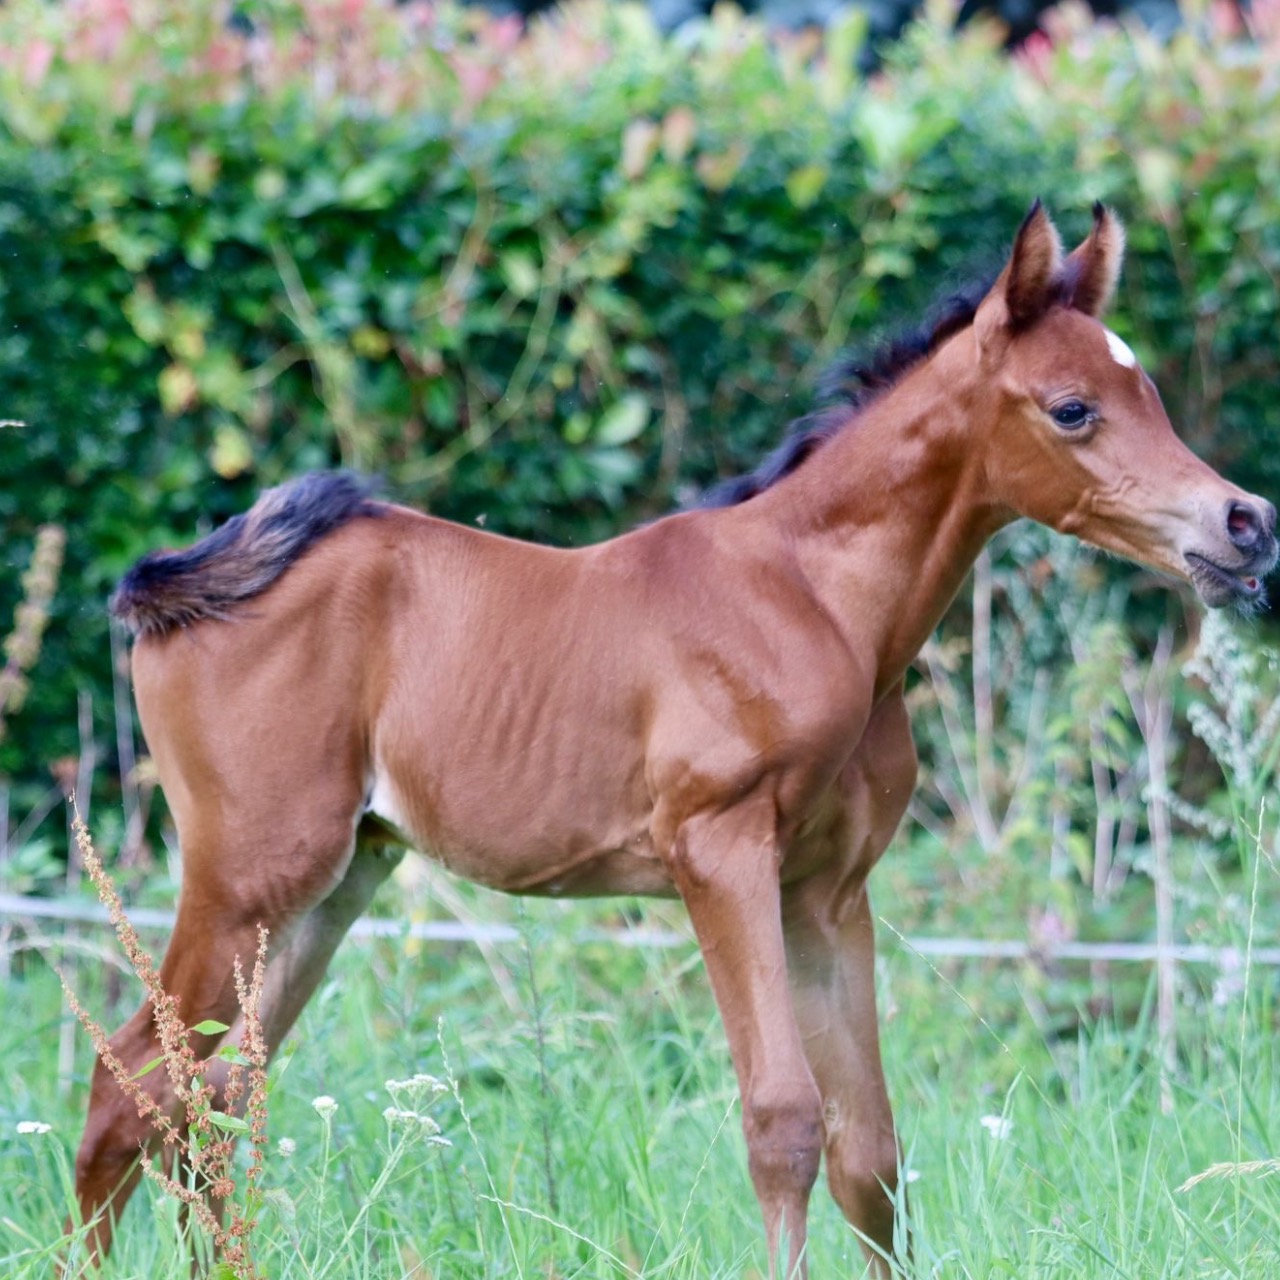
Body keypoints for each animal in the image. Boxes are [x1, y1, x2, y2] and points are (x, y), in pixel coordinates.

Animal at [77, 204, 1269, 1274]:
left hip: (330, 885)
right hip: (246, 877)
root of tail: (184, 586)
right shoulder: (720, 852)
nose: (1246, 524)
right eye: (1072, 408)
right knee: (130, 1085)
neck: (811, 599)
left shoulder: (828, 890)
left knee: (212, 1098)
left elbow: (871, 1151)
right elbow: (783, 1121)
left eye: (1149, 394)